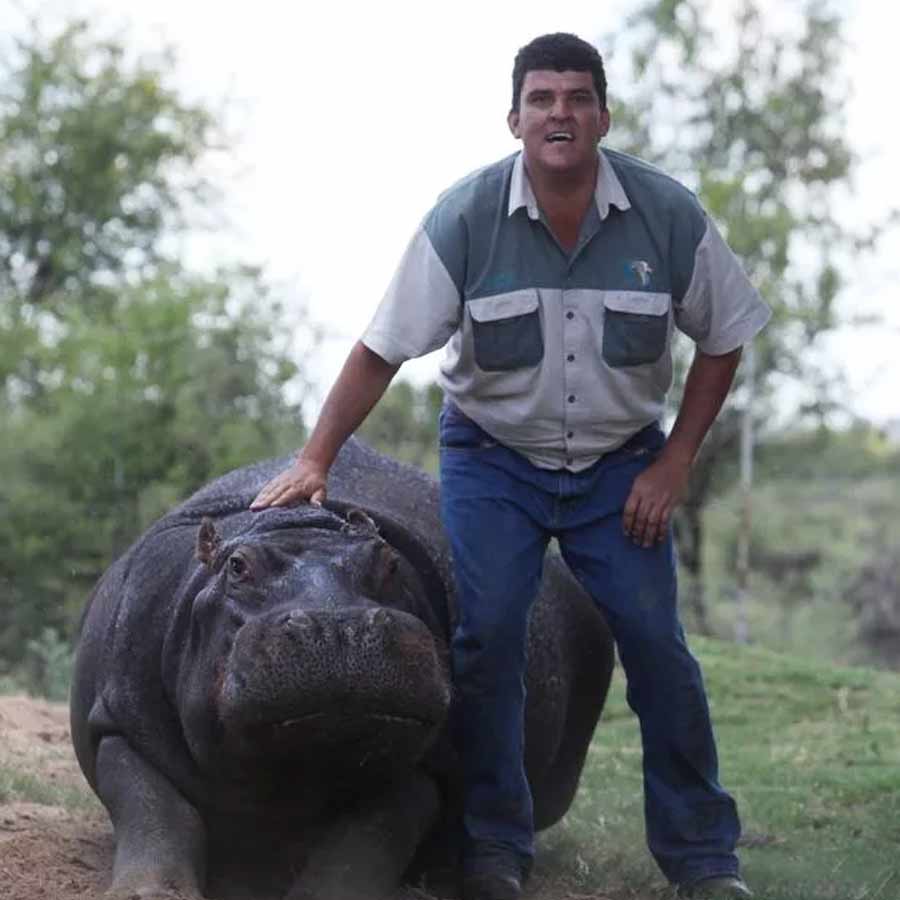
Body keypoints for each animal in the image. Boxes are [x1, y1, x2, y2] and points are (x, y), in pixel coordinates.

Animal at [70, 437, 615, 900]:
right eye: (237, 567)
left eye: (390, 562)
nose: (338, 625)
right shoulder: (122, 722)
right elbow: (156, 810)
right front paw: (147, 893)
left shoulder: (426, 760)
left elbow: (365, 839)